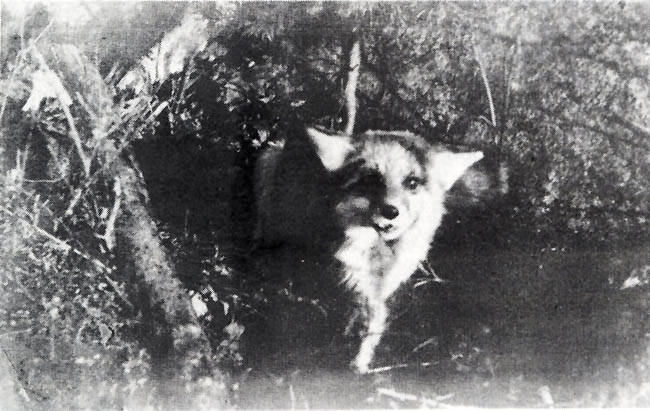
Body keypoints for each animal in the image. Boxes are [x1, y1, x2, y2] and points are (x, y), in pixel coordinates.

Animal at [254, 126, 486, 373]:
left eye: (412, 183)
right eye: (372, 179)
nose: (391, 212)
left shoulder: (372, 290)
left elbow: (367, 328)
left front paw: (359, 364)